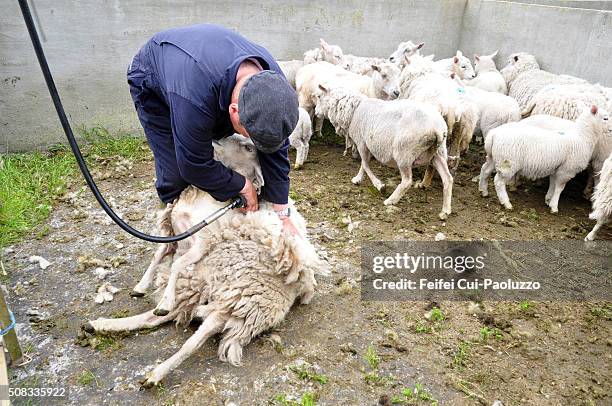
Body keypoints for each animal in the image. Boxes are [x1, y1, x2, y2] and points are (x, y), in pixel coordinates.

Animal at [85, 135, 330, 386]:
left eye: (249, 147)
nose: (217, 139)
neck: (203, 198)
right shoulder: (174, 233)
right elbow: (159, 254)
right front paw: (142, 286)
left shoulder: (202, 241)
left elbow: (176, 264)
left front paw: (164, 298)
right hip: (200, 290)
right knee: (152, 318)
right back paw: (100, 325)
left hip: (238, 305)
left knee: (192, 341)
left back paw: (156, 372)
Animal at [316, 83, 454, 220]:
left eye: (319, 96)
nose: (316, 113)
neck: (354, 110)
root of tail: (437, 128)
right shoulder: (367, 144)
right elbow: (363, 165)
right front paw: (358, 179)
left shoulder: (362, 143)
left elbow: (365, 164)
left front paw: (379, 185)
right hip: (438, 153)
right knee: (448, 179)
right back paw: (445, 211)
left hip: (404, 153)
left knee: (407, 181)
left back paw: (391, 200)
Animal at [480, 104, 608, 213]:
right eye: (605, 118)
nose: (610, 128)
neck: (582, 137)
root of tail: (494, 134)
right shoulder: (566, 170)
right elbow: (559, 188)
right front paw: (554, 206)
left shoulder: (556, 168)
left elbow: (553, 184)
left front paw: (548, 200)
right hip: (508, 162)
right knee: (498, 182)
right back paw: (506, 203)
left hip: (494, 158)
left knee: (485, 170)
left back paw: (483, 191)